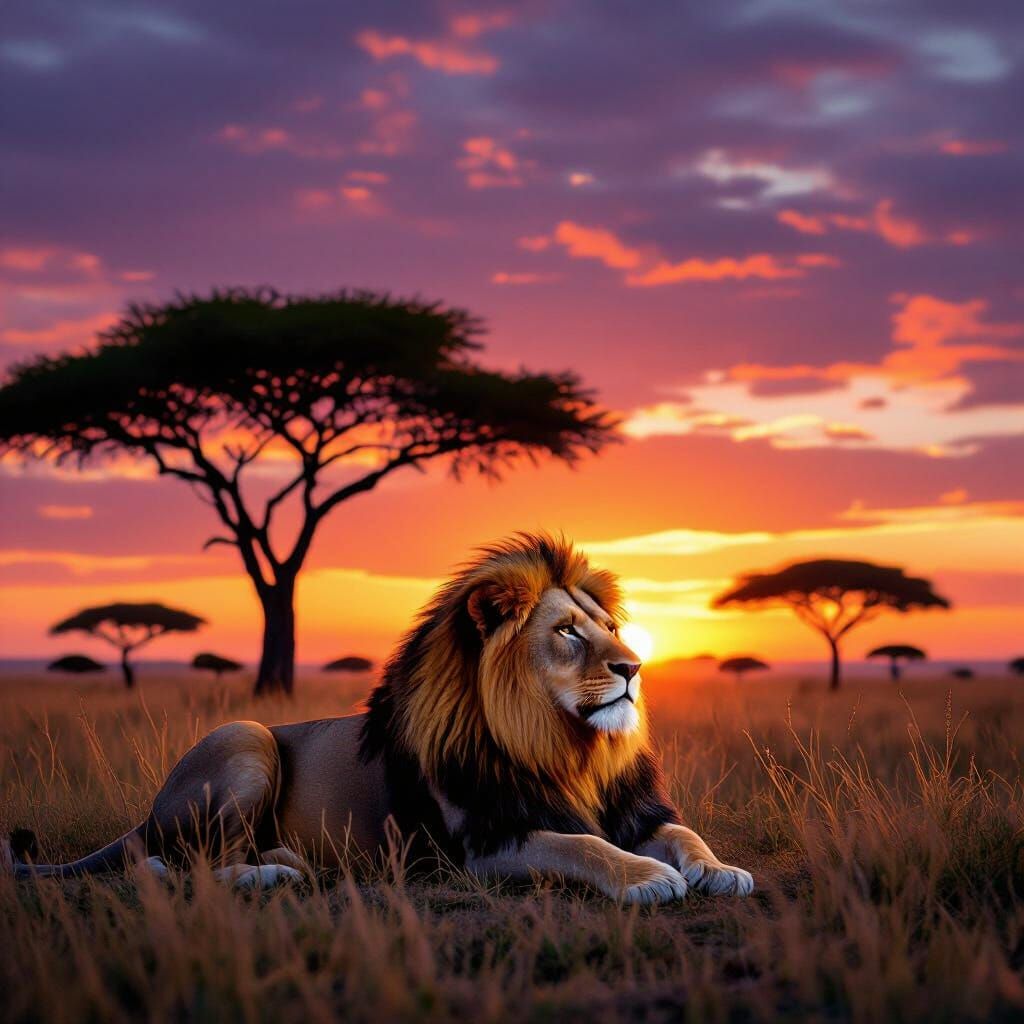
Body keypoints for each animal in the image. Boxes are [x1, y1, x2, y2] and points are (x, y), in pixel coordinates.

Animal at [5, 533, 753, 904]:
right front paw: (645, 877)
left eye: (608, 627)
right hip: (245, 738)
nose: (635, 666)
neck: (565, 748)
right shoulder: (482, 845)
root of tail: (149, 810)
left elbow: (683, 834)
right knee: (180, 865)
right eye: (568, 632)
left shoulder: (632, 810)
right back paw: (268, 876)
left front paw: (720, 871)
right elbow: (582, 846)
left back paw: (284, 860)